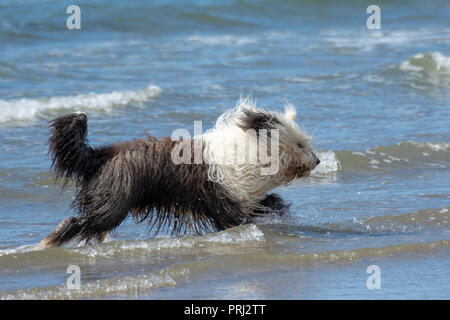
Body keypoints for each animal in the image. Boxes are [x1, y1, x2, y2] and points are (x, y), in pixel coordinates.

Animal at [40, 97, 318, 248]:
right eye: (300, 144)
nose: (316, 161)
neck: (252, 149)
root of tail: (100, 154)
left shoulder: (243, 197)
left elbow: (268, 203)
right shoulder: (225, 200)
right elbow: (237, 217)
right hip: (115, 201)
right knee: (79, 221)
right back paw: (48, 242)